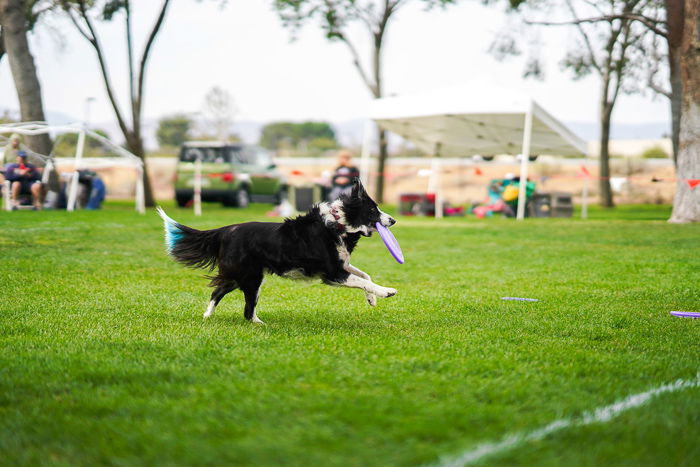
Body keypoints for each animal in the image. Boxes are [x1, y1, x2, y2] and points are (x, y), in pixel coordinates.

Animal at [160, 177, 400, 324]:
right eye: (373, 210)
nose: (393, 220)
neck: (338, 223)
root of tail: (226, 230)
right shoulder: (334, 273)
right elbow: (363, 280)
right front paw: (386, 291)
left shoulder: (342, 265)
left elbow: (365, 276)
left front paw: (372, 299)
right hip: (250, 277)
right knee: (244, 307)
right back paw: (258, 323)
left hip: (241, 275)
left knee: (219, 291)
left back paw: (208, 315)